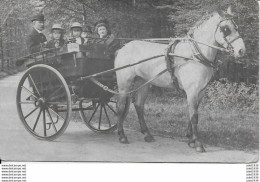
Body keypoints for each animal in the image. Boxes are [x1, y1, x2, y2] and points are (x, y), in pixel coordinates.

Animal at [114, 6, 246, 152]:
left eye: (236, 27)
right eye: (225, 29)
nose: (241, 51)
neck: (194, 55)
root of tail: (123, 48)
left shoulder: (200, 92)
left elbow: (192, 112)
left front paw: (190, 139)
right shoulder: (192, 91)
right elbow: (194, 116)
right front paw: (198, 143)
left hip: (143, 83)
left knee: (138, 106)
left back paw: (147, 134)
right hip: (124, 85)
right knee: (120, 106)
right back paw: (122, 135)